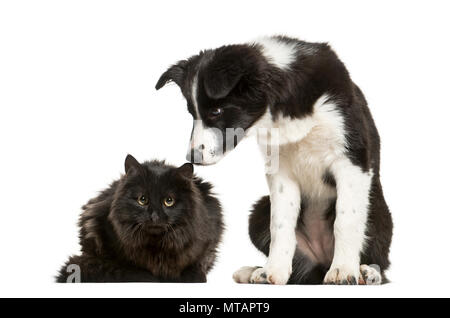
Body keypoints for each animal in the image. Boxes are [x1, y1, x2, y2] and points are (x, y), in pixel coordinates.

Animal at [56, 155, 223, 282]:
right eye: (142, 200)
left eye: (169, 201)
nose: (154, 216)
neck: (157, 246)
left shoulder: (210, 240)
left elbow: (199, 261)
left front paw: (195, 276)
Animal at [156, 36, 394, 284]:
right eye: (192, 113)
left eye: (217, 111)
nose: (191, 157)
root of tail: (321, 261)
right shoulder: (281, 171)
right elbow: (280, 225)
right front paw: (274, 270)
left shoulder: (350, 161)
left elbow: (346, 220)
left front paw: (344, 270)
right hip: (258, 212)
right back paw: (255, 271)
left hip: (376, 208)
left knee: (380, 261)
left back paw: (367, 272)